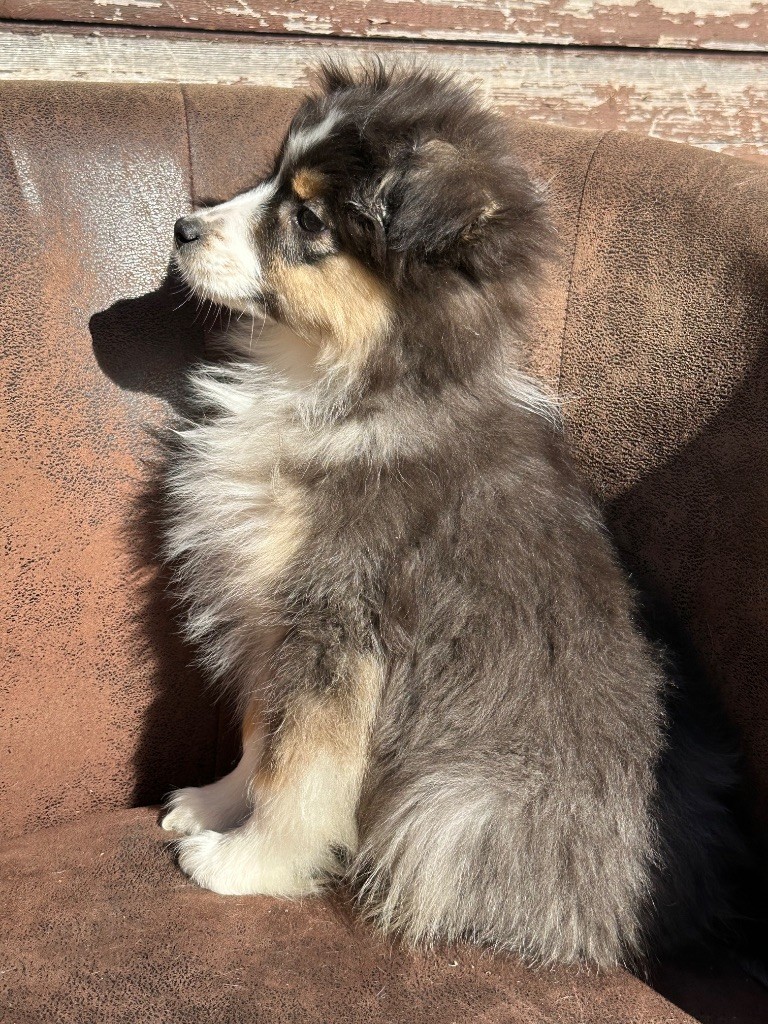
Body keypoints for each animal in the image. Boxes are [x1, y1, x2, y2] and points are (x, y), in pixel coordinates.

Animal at [160, 61, 751, 971]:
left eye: (306, 219)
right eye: (272, 179)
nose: (183, 226)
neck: (349, 389)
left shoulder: (340, 627)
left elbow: (299, 765)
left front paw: (245, 864)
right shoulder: (277, 617)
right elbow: (263, 734)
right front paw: (216, 803)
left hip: (456, 801)